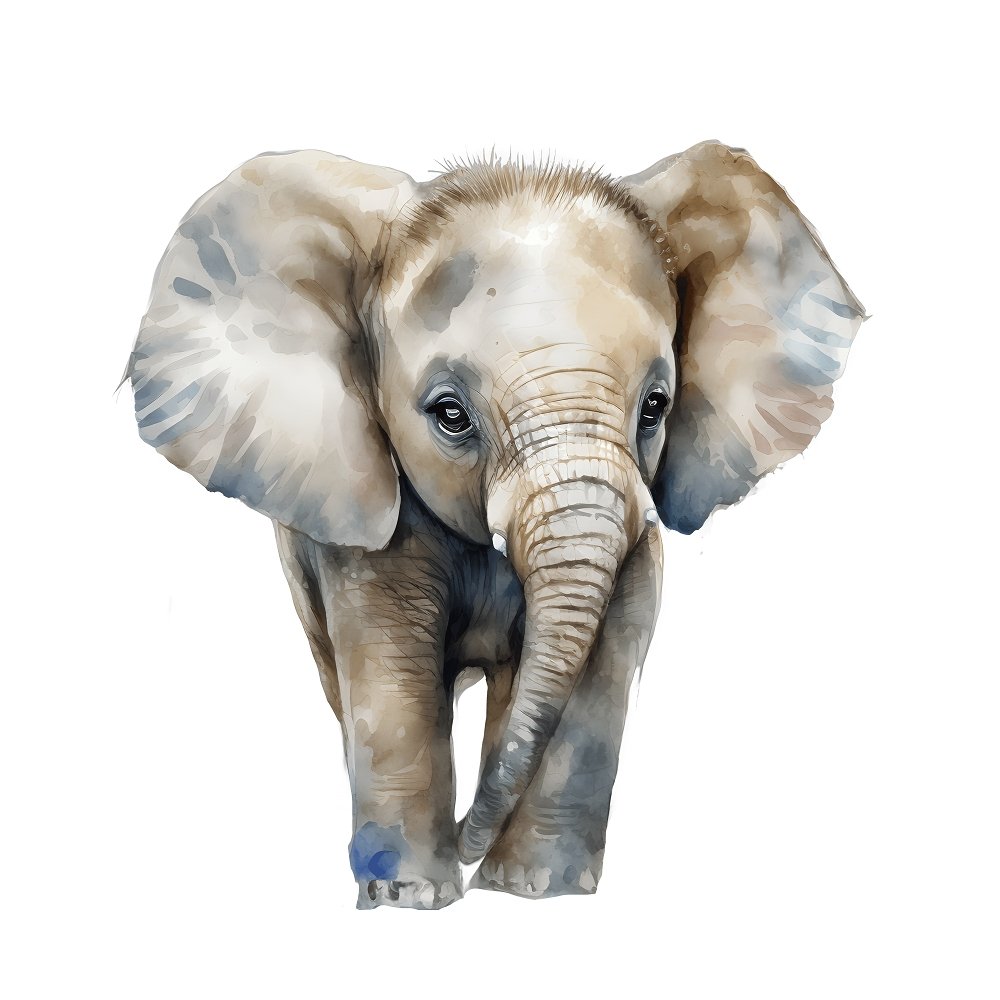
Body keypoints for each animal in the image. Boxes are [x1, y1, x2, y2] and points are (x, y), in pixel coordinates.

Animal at [126, 140, 864, 909]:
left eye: (656, 406)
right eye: (450, 414)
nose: (466, 845)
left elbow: (602, 657)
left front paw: (535, 893)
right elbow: (393, 666)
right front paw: (411, 900)